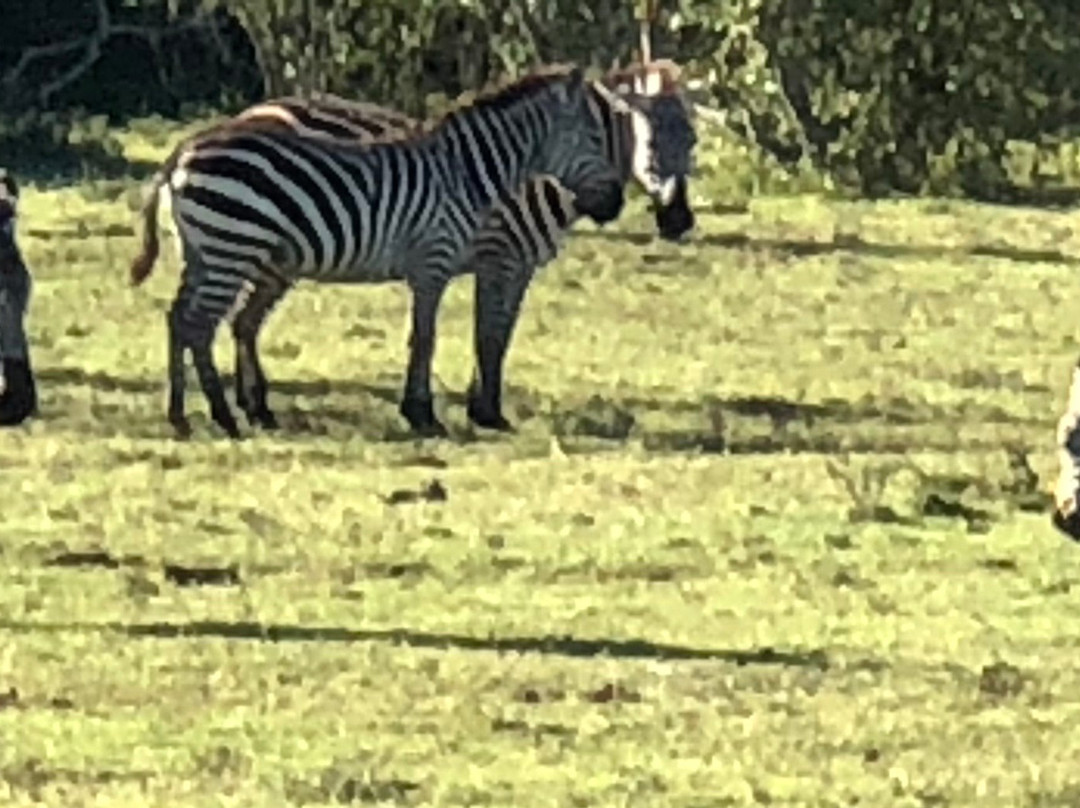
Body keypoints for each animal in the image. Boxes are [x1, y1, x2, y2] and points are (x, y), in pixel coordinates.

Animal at [197, 61, 695, 436]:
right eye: (649, 145)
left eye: (693, 144)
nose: (680, 223)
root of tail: (255, 109)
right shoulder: (499, 257)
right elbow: (486, 334)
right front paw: (482, 412)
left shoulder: (518, 265)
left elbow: (500, 333)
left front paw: (483, 407)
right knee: (241, 319)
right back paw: (251, 407)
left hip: (275, 254)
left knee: (244, 320)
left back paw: (256, 408)